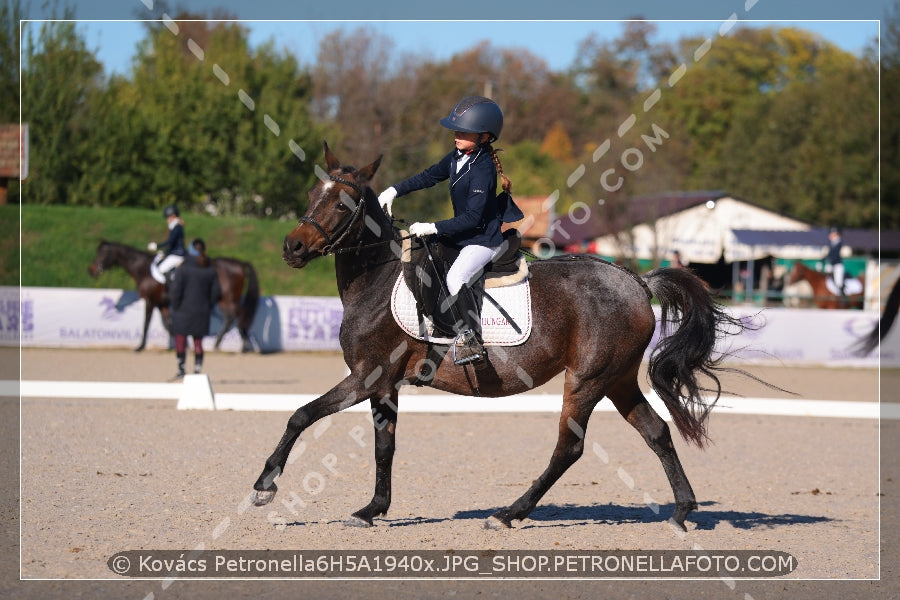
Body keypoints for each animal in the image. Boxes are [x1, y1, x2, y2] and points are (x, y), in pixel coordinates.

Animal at [89, 239, 260, 352]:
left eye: (103, 253)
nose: (91, 271)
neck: (143, 269)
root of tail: (239, 263)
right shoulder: (162, 303)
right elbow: (169, 323)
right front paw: (177, 347)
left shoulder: (150, 301)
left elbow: (146, 323)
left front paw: (140, 347)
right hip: (224, 300)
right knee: (231, 318)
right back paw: (224, 344)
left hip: (230, 298)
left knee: (239, 316)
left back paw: (241, 345)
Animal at [248, 144, 772, 528]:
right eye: (312, 191)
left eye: (344, 203)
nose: (292, 248)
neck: (375, 279)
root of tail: (636, 282)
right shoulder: (383, 384)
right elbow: (384, 447)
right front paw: (373, 509)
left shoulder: (364, 376)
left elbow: (300, 415)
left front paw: (264, 487)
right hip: (618, 379)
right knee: (657, 432)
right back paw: (682, 511)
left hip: (586, 380)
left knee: (569, 448)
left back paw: (508, 513)